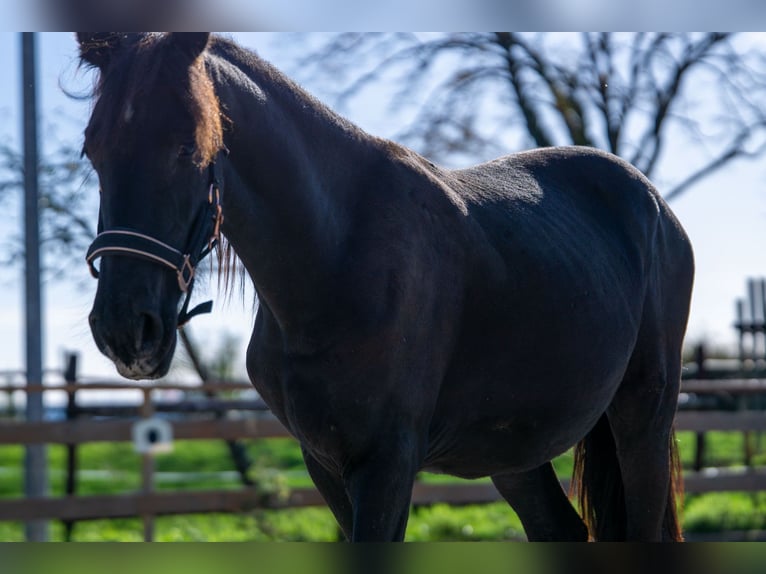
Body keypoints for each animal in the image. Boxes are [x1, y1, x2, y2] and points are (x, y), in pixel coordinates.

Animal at [78, 32, 696, 544]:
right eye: (93, 149)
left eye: (187, 147)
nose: (124, 330)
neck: (335, 258)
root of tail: (654, 204)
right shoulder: (325, 464)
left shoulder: (386, 464)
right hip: (514, 450)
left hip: (643, 415)